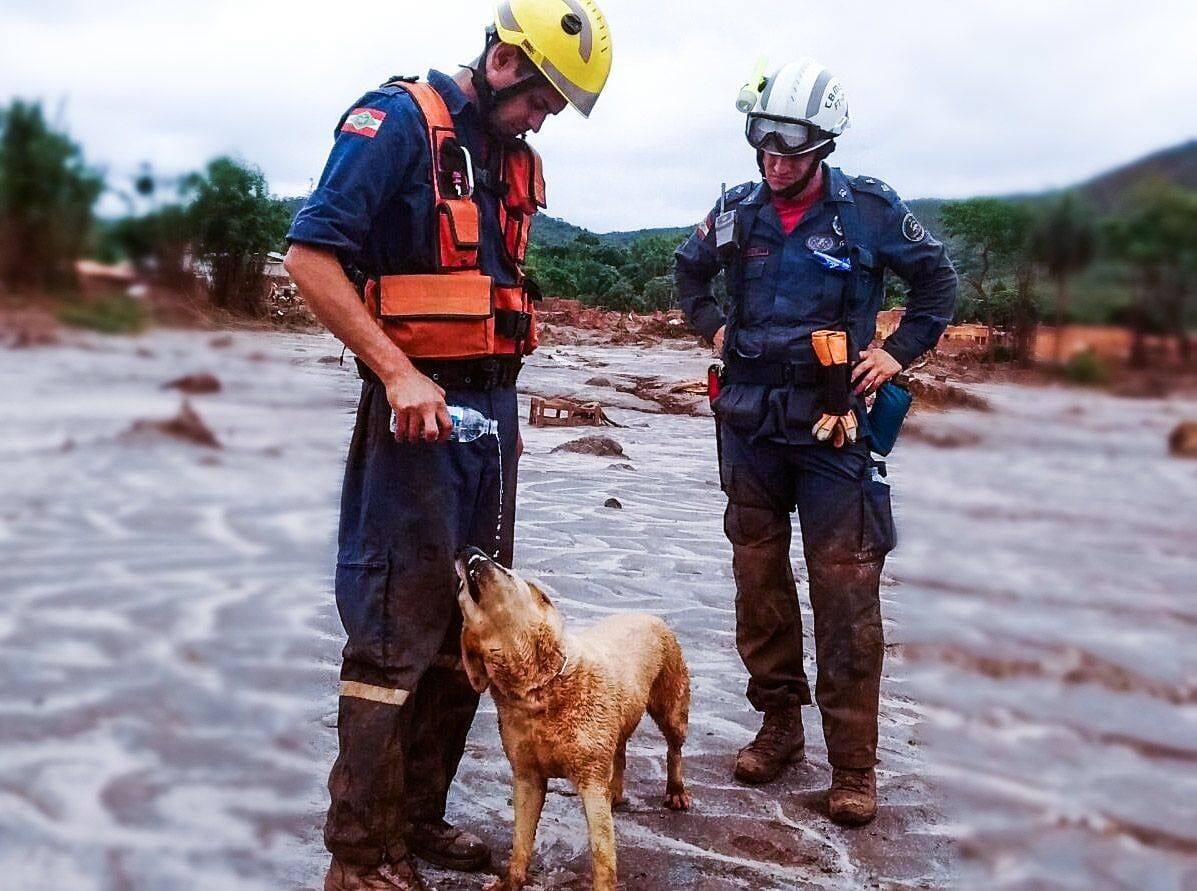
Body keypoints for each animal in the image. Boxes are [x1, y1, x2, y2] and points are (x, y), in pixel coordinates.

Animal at [452, 546, 689, 886]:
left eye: (505, 570)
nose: (469, 549)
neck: (538, 691)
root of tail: (649, 614)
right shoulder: (527, 776)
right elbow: (520, 842)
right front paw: (510, 882)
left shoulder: (591, 781)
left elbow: (603, 855)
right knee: (620, 751)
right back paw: (617, 791)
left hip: (672, 703)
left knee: (674, 748)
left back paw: (676, 792)